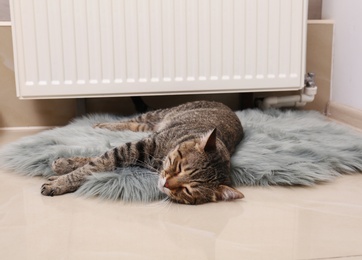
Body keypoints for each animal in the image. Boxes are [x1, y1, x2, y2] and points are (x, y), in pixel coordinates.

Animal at [41, 100, 246, 204]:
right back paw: (102, 125)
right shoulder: (134, 147)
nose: (166, 184)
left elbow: (95, 162)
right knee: (131, 120)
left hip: (150, 125)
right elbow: (97, 162)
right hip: (158, 115)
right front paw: (61, 177)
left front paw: (61, 171)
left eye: (187, 190)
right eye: (179, 167)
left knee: (134, 124)